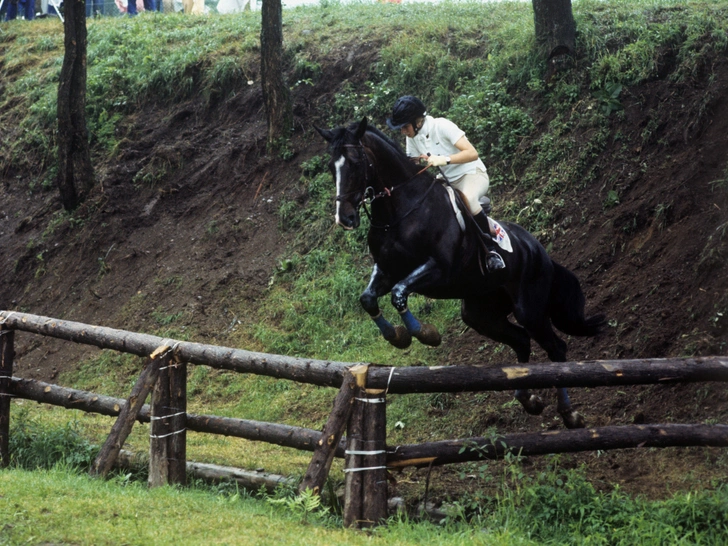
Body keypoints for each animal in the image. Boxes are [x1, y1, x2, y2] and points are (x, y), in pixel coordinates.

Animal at [316, 118, 604, 424]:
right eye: (331, 166)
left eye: (356, 162)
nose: (345, 219)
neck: (401, 210)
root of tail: (540, 251)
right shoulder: (386, 270)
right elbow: (369, 298)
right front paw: (397, 337)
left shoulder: (438, 269)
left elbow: (398, 294)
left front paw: (426, 334)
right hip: (480, 313)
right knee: (521, 341)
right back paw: (529, 400)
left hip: (530, 309)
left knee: (555, 348)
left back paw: (569, 413)